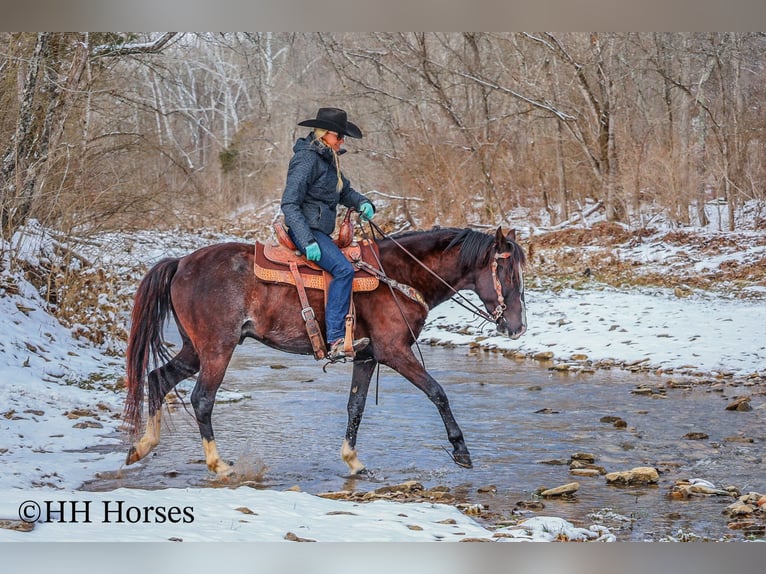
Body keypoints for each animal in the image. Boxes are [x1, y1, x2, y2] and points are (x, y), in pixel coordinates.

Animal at [123, 226, 527, 477]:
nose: (518, 327)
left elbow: (356, 406)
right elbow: (437, 392)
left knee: (158, 379)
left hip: (195, 350)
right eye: (508, 274)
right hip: (216, 349)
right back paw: (219, 465)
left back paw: (142, 447)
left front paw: (353, 461)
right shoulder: (395, 352)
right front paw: (461, 451)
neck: (399, 277)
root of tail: (180, 263)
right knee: (202, 399)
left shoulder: (368, 357)